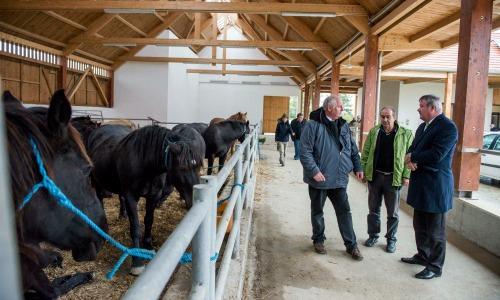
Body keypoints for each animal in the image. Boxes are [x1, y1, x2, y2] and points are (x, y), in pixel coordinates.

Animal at [90, 124, 205, 274]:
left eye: (198, 166)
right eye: (182, 167)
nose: (193, 201)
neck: (144, 162)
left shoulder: (153, 196)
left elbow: (149, 220)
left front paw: (148, 246)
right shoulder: (131, 197)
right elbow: (135, 226)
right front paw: (137, 261)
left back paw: (122, 215)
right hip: (97, 182)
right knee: (100, 201)